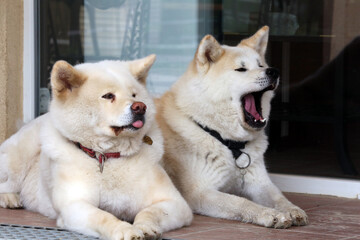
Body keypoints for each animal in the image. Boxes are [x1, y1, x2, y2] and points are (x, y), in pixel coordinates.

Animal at [0, 55, 193, 239]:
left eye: (134, 95)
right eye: (108, 96)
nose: (140, 107)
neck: (108, 155)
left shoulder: (176, 204)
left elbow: (149, 212)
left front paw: (145, 227)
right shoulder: (75, 205)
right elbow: (104, 217)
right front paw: (125, 230)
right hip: (19, 159)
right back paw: (10, 197)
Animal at [156, 26, 308, 229]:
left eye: (261, 65)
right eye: (241, 69)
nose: (273, 71)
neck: (228, 141)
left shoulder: (260, 183)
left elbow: (279, 197)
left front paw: (292, 210)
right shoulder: (200, 193)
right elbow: (241, 202)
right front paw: (269, 214)